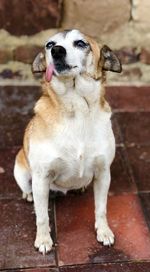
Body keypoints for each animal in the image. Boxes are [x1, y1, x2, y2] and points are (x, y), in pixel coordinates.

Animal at [13, 28, 122, 254]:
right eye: (49, 44)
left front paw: (103, 232)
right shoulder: (41, 177)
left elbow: (101, 208)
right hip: (20, 169)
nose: (56, 50)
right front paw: (43, 240)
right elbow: (42, 217)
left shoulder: (103, 173)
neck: (77, 108)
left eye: (81, 43)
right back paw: (28, 196)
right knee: (28, 190)